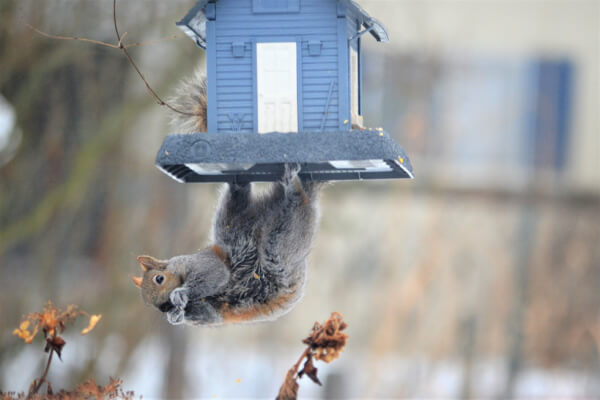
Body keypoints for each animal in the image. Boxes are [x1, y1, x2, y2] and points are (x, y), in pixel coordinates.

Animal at [134, 73, 324, 326]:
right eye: (148, 303)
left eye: (159, 279)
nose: (164, 307)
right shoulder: (209, 311)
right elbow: (206, 312)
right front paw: (176, 315)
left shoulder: (203, 264)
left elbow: (214, 276)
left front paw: (181, 294)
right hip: (232, 220)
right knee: (239, 195)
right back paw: (239, 180)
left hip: (281, 243)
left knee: (295, 206)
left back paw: (292, 184)